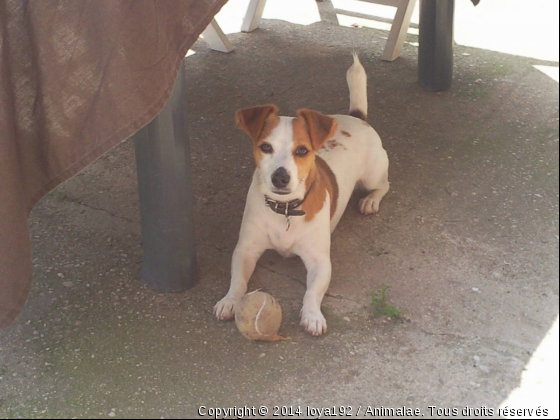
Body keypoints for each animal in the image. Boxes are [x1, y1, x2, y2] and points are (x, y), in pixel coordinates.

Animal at [214, 54, 390, 336]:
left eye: (302, 151)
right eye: (266, 147)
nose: (280, 177)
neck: (285, 209)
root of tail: (357, 117)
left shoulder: (320, 262)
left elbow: (311, 293)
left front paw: (312, 315)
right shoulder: (245, 250)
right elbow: (238, 280)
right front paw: (230, 300)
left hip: (373, 174)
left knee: (384, 184)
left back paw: (370, 200)